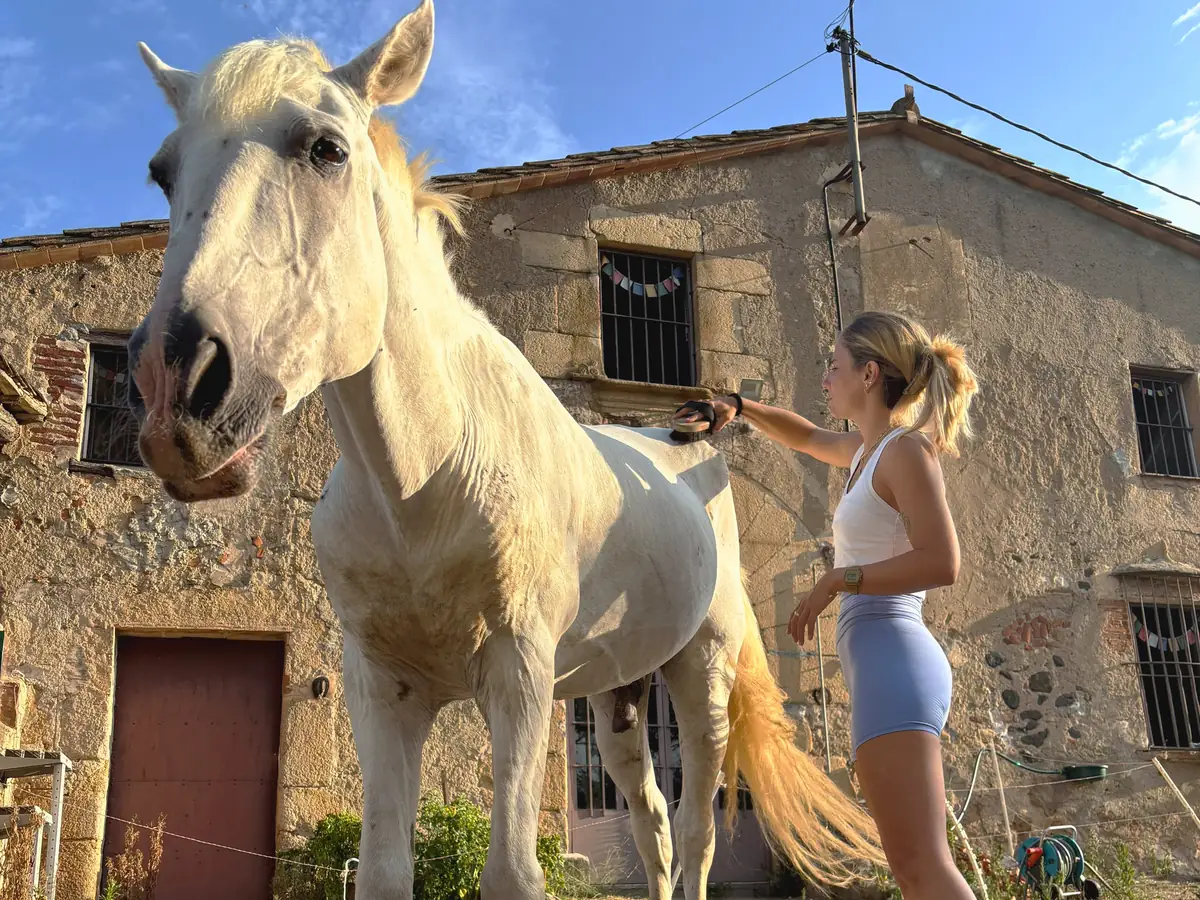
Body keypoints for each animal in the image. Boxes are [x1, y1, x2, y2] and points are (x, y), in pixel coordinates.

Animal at [126, 3, 883, 897]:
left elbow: (515, 874)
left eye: (327, 149)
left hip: (703, 675)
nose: (176, 387)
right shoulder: (380, 688)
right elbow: (383, 871)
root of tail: (691, 443)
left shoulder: (517, 676)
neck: (425, 483)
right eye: (162, 172)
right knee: (655, 829)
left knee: (697, 836)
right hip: (616, 696)